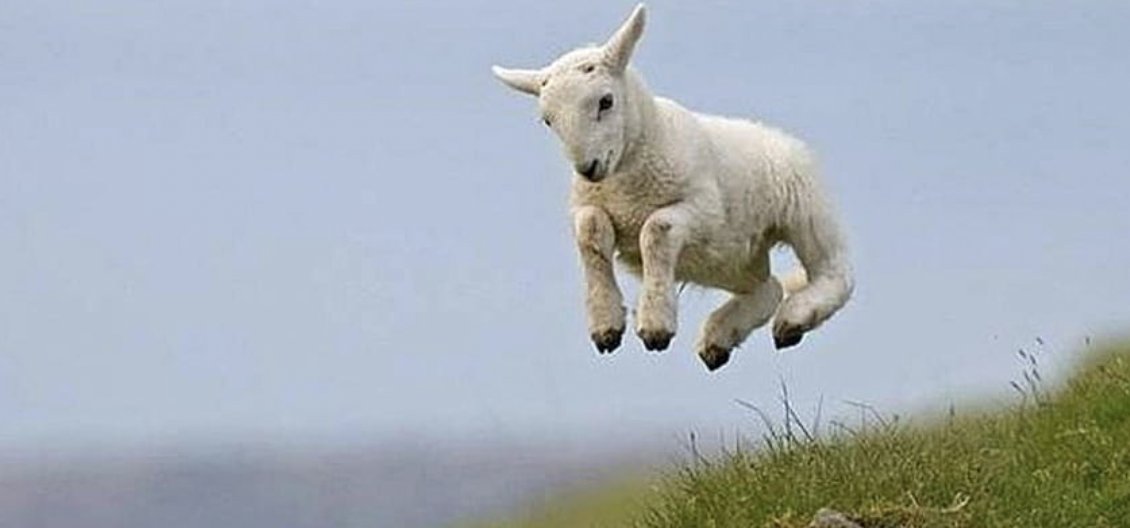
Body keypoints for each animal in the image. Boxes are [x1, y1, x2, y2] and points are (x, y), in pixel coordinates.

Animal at [491, 4, 853, 371]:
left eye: (606, 101)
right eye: (547, 120)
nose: (587, 168)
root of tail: (774, 135)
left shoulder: (705, 210)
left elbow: (656, 230)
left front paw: (655, 327)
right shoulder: (588, 205)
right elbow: (591, 231)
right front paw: (606, 327)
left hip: (802, 207)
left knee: (835, 273)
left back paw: (793, 319)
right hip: (728, 259)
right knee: (768, 288)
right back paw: (720, 340)